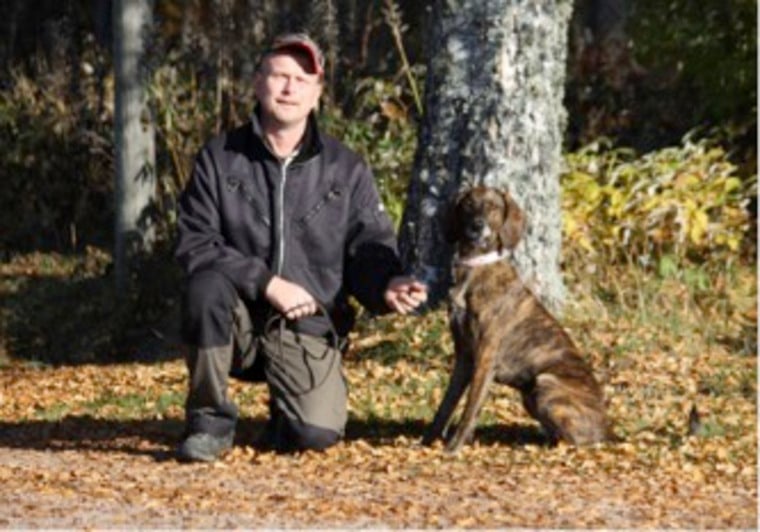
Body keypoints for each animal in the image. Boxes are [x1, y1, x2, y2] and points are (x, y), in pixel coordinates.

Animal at [424, 186, 616, 454]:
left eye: (494, 207)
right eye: (469, 204)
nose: (477, 226)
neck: (475, 266)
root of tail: (609, 430)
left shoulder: (485, 356)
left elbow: (470, 408)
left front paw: (455, 446)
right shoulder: (463, 356)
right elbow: (446, 405)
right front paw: (427, 440)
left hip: (545, 383)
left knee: (575, 440)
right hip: (530, 395)